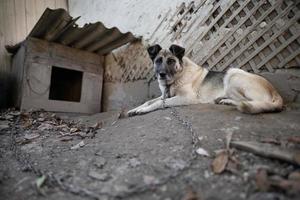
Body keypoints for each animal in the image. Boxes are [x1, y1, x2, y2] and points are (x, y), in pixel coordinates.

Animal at [127, 43, 284, 115]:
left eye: (171, 61)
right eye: (158, 61)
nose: (162, 74)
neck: (177, 77)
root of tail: (275, 91)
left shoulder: (187, 98)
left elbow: (158, 103)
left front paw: (143, 110)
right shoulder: (164, 95)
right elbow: (149, 101)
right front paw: (135, 109)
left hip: (232, 74)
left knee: (248, 102)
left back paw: (226, 101)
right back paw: (224, 100)